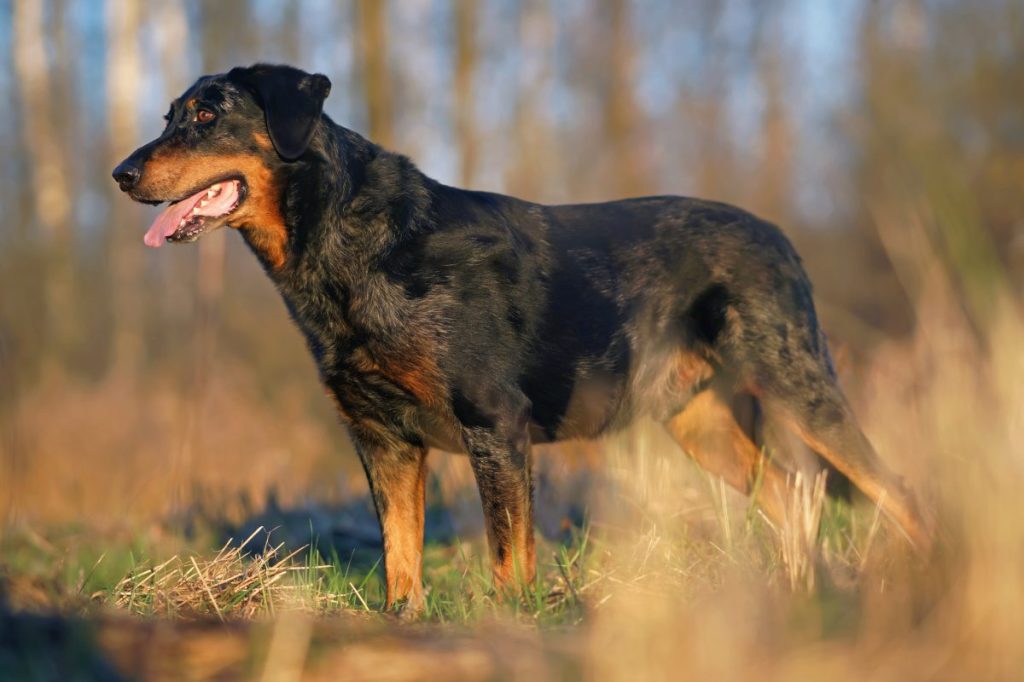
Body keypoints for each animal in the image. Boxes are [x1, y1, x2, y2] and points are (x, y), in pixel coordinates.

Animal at [114, 62, 937, 606]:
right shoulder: (382, 438)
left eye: (208, 118)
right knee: (792, 494)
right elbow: (400, 556)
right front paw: (406, 626)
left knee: (895, 490)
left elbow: (510, 557)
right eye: (168, 115)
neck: (350, 244)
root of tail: (780, 235)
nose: (121, 172)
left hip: (796, 381)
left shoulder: (494, 424)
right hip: (702, 421)